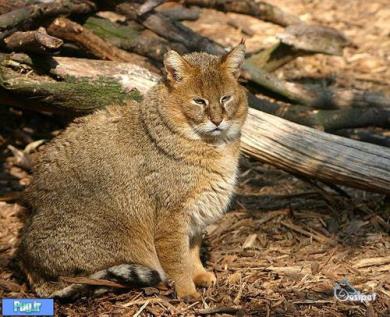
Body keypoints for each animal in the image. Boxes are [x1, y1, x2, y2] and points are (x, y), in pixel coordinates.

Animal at [16, 42, 248, 302]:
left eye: (225, 98)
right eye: (199, 101)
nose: (218, 121)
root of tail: (28, 265)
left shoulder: (197, 215)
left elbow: (192, 252)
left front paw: (199, 275)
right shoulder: (172, 218)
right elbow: (178, 261)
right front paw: (188, 292)